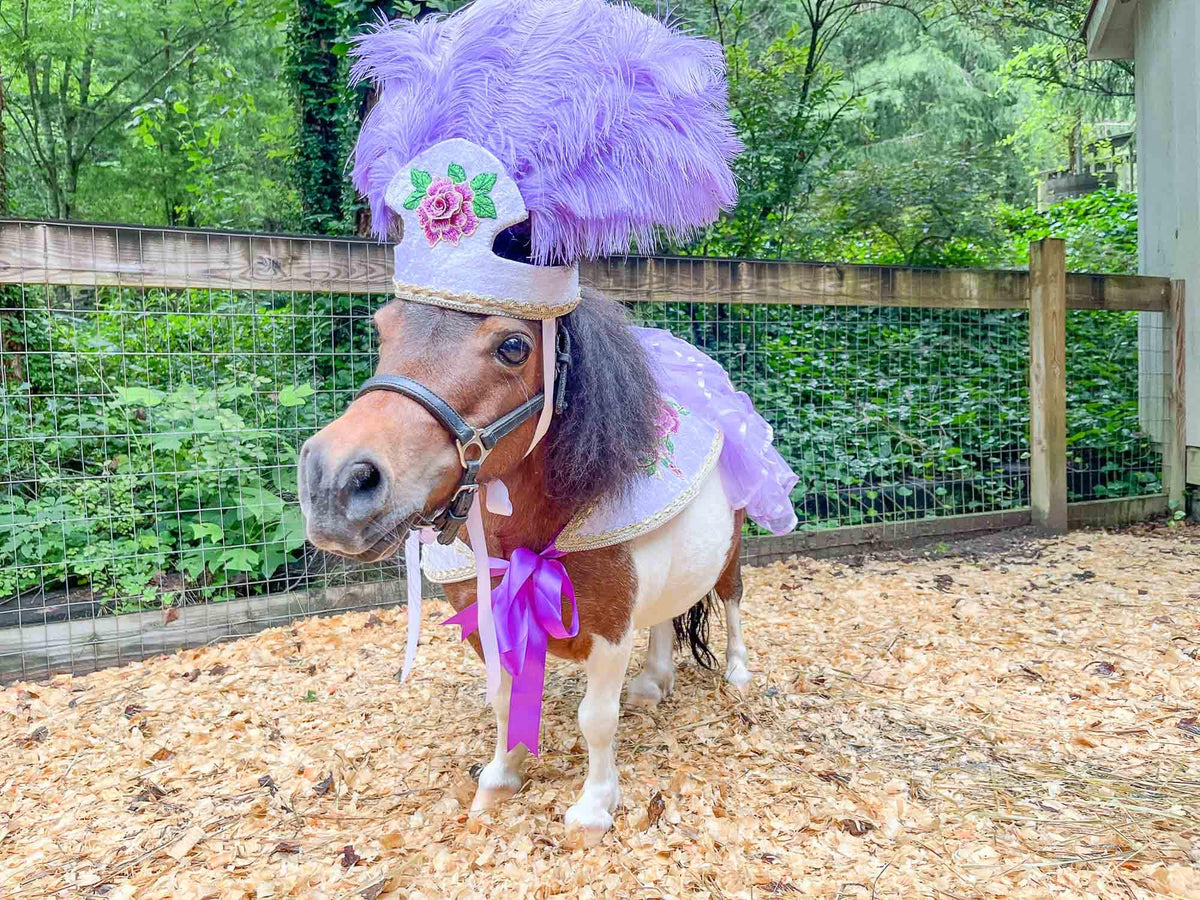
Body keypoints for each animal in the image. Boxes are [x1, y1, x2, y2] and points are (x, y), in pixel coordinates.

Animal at [298, 289, 754, 842]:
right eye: (381, 330)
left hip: (732, 552)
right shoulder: (488, 623)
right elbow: (503, 701)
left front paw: (593, 808)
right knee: (666, 617)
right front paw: (500, 779)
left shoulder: (609, 632)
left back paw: (737, 672)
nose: (334, 480)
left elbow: (596, 719)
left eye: (514, 346)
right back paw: (651, 683)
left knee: (732, 600)